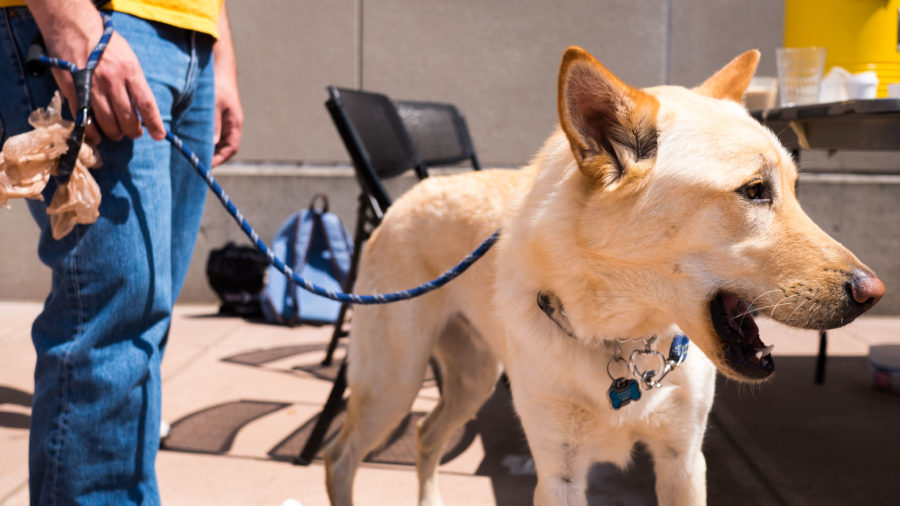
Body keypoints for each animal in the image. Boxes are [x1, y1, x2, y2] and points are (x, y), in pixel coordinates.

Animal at [320, 47, 884, 506]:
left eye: (793, 188)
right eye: (753, 191)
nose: (873, 293)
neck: (624, 335)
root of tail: (412, 194)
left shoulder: (683, 460)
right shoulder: (559, 472)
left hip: (470, 378)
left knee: (426, 436)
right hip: (394, 380)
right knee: (340, 458)